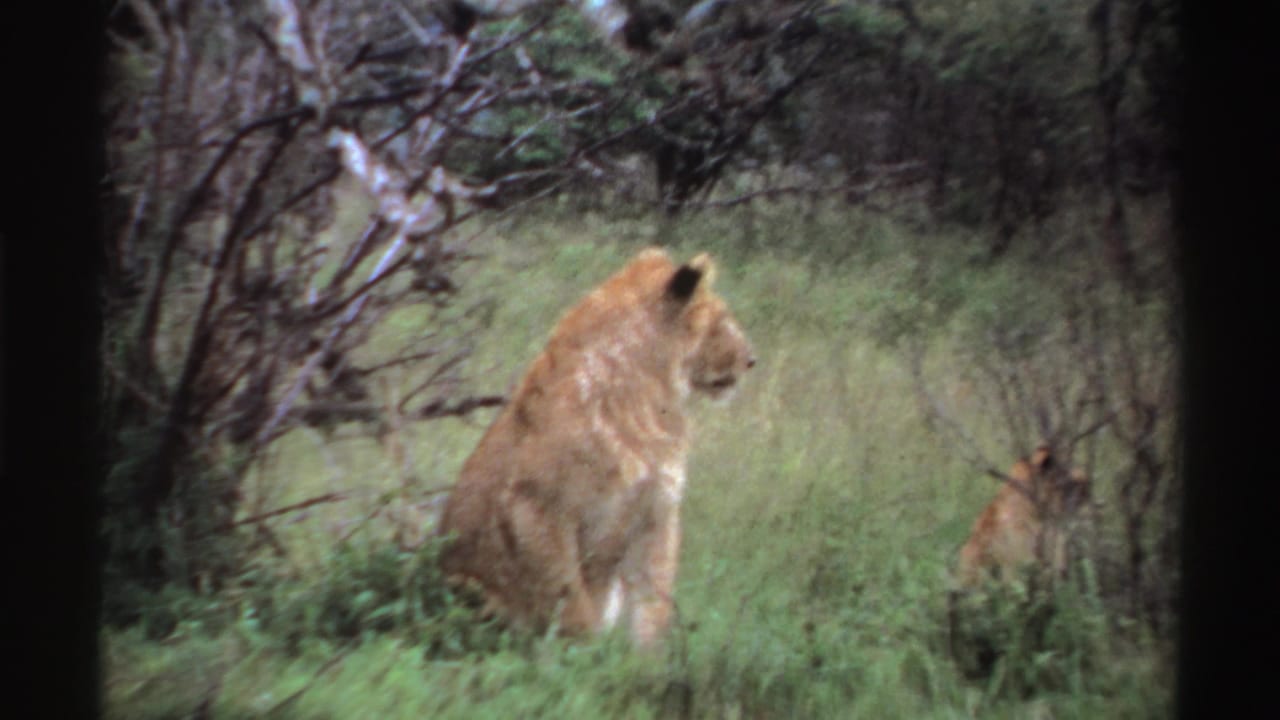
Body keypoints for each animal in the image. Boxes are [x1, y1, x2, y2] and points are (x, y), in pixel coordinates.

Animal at [438, 247, 755, 648]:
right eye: (721, 320)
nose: (751, 360)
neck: (650, 397)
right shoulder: (535, 507)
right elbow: (572, 603)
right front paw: (584, 657)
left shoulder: (657, 512)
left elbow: (654, 604)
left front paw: (646, 661)